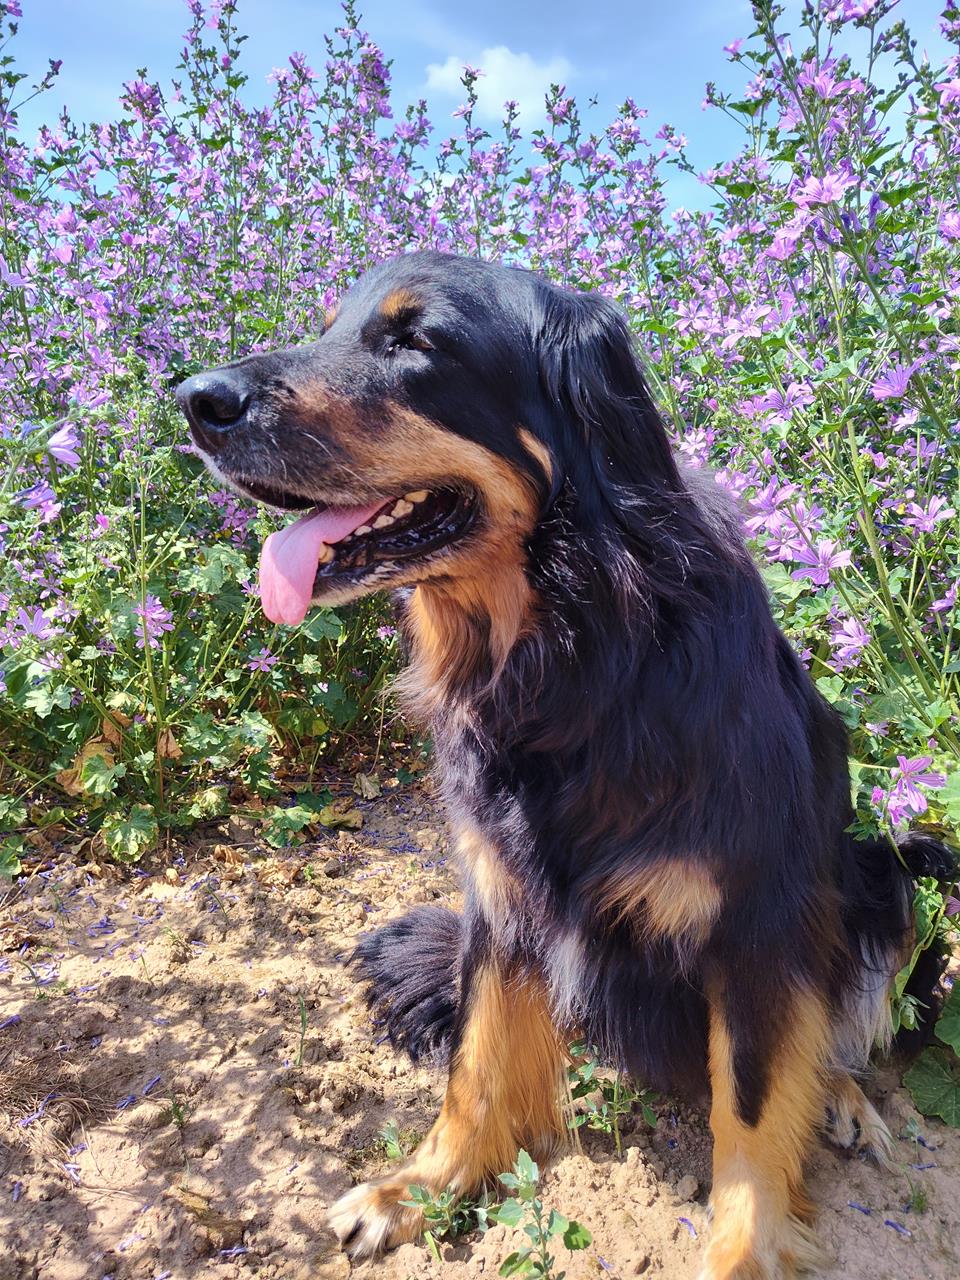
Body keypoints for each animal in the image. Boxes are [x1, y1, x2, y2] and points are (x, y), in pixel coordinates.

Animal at [176, 251, 953, 1279]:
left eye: (416, 341)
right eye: (334, 324)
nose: (193, 400)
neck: (574, 656)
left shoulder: (756, 921)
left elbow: (749, 1115)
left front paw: (741, 1250)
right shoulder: (503, 893)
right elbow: (475, 1065)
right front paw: (423, 1186)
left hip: (895, 871)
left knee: (827, 1032)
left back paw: (841, 1096)